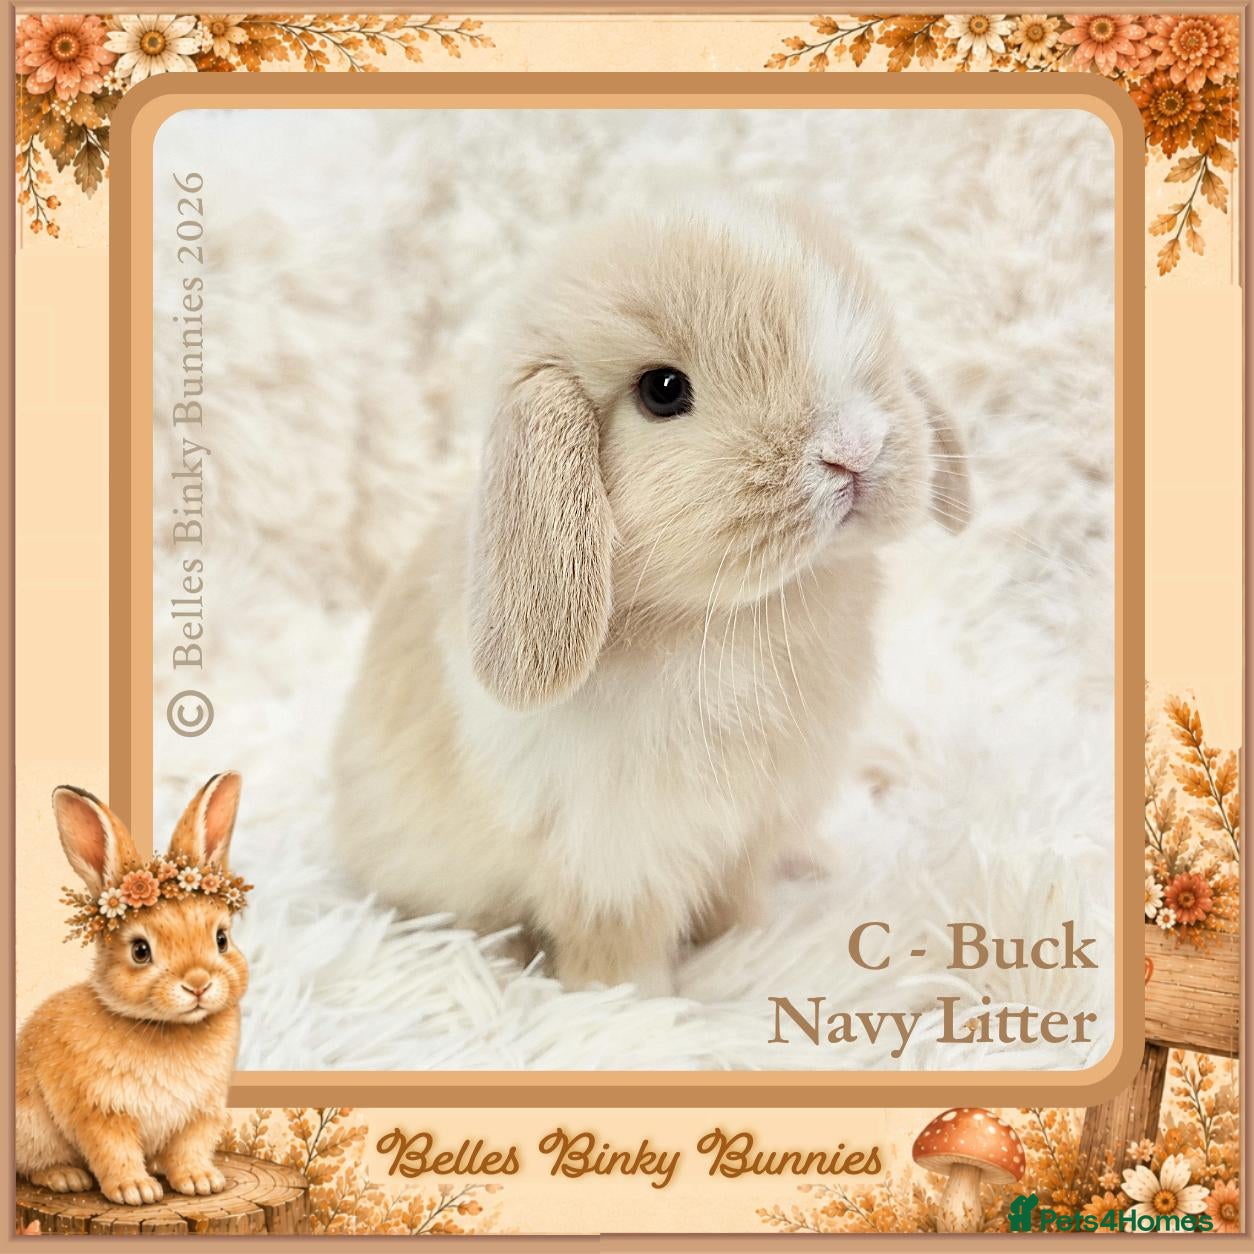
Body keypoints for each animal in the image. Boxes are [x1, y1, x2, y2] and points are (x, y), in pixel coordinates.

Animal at [16, 773, 248, 1205]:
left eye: (221, 939)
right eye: (141, 951)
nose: (198, 984)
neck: (168, 1028)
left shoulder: (200, 1113)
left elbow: (190, 1149)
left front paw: (201, 1182)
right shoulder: (101, 1111)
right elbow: (114, 1151)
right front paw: (135, 1191)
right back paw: (65, 1177)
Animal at [333, 199, 970, 996]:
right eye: (662, 391)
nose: (854, 446)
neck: (727, 620)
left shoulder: (754, 828)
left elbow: (738, 899)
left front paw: (755, 942)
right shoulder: (611, 859)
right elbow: (620, 945)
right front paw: (632, 1004)